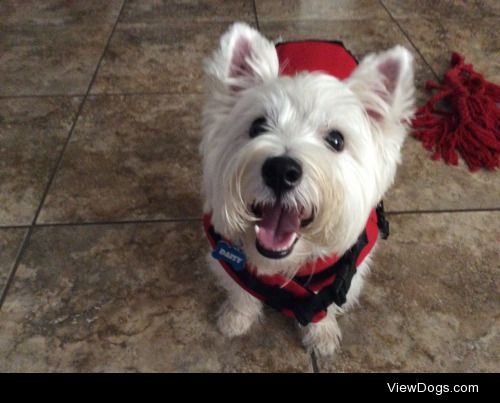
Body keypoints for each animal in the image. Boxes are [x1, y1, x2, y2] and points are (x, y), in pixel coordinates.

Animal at [199, 22, 414, 356]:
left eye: (336, 140)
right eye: (257, 126)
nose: (281, 171)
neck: (287, 262)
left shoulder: (347, 270)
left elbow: (326, 304)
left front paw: (321, 334)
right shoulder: (226, 252)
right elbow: (241, 289)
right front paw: (236, 318)